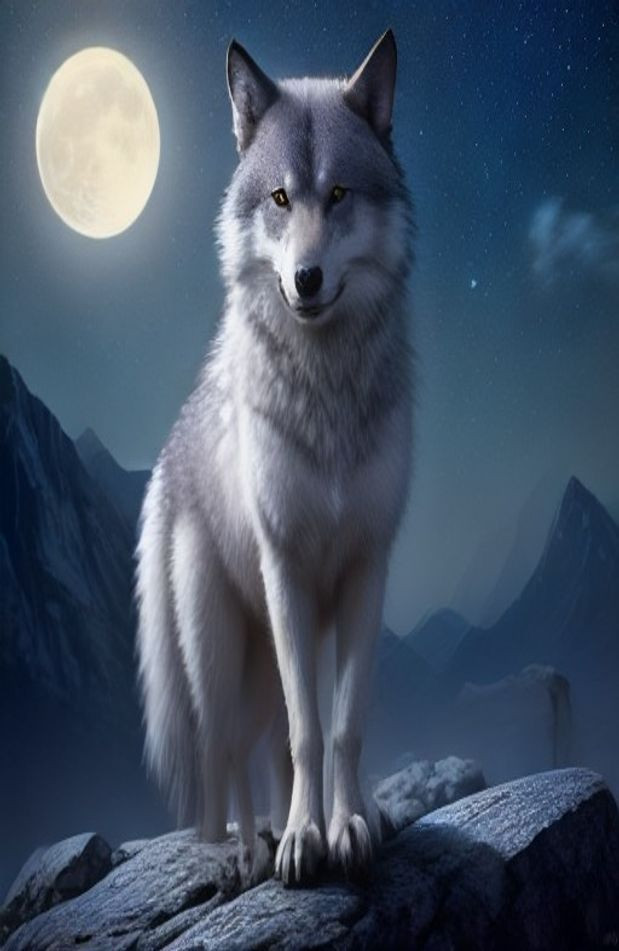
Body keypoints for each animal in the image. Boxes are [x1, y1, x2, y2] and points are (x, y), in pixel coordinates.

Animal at [134, 28, 415, 885]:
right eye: (281, 199)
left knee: (264, 746)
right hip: (225, 658)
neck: (326, 396)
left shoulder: (364, 571)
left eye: (339, 194)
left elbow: (341, 725)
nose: (306, 278)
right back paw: (251, 849)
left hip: (265, 661)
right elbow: (306, 732)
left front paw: (348, 825)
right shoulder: (286, 568)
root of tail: (167, 459)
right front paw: (300, 841)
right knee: (229, 753)